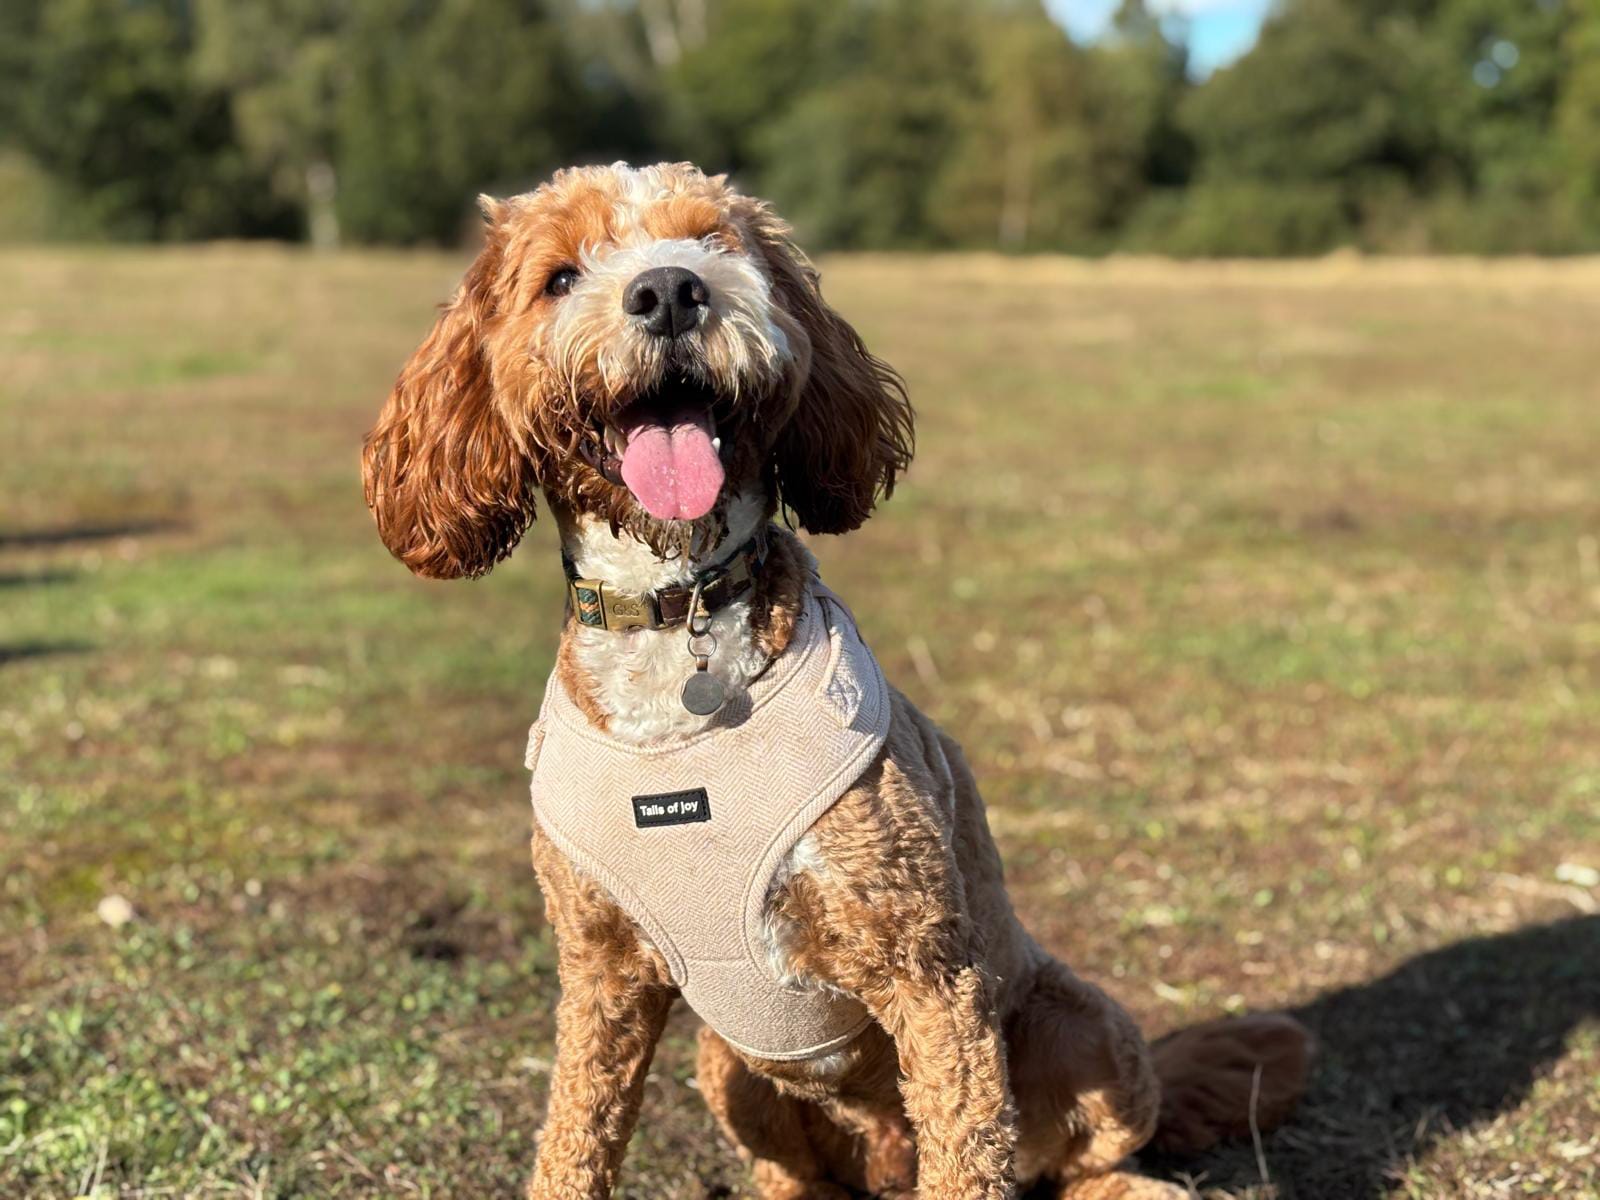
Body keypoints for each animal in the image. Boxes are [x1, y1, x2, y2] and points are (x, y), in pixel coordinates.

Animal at [366, 162, 1312, 1200]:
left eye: (715, 243)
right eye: (561, 277)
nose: (669, 291)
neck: (674, 616)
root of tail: (887, 1156)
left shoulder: (929, 974)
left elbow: (970, 1157)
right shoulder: (601, 975)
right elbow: (574, 1139)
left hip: (1078, 1025)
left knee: (1081, 1157)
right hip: (727, 1065)